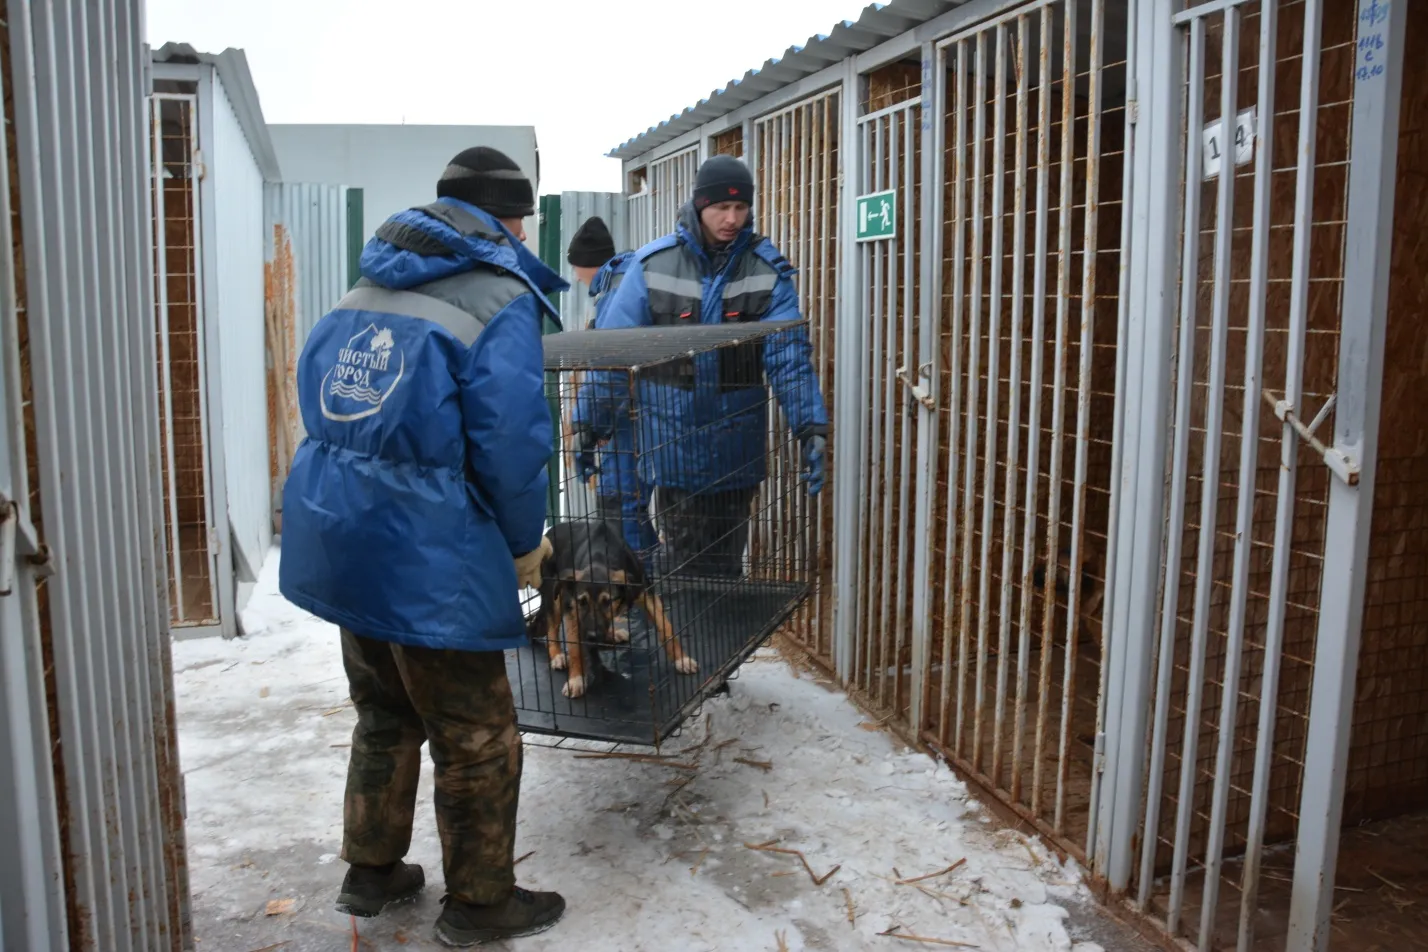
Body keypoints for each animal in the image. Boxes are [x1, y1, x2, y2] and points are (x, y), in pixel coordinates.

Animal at [528, 522, 699, 699]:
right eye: (582, 602)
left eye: (607, 602)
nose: (591, 636)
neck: (600, 558)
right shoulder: (572, 608)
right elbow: (574, 647)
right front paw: (576, 679)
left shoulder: (646, 593)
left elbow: (666, 627)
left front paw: (682, 659)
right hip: (554, 595)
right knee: (552, 628)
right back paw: (557, 655)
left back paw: (611, 634)